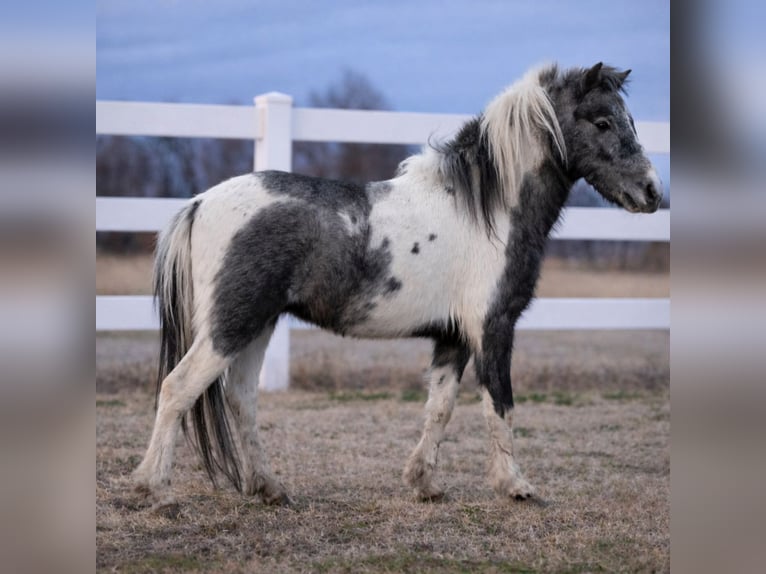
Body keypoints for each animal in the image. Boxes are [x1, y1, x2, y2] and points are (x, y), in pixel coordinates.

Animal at [133, 62, 662, 508]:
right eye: (602, 122)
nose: (653, 191)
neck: (484, 211)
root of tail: (200, 202)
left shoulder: (454, 337)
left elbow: (440, 408)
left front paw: (424, 483)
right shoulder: (493, 329)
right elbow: (500, 405)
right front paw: (515, 486)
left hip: (256, 326)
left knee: (241, 398)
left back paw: (269, 488)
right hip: (231, 325)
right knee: (177, 388)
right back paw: (155, 489)